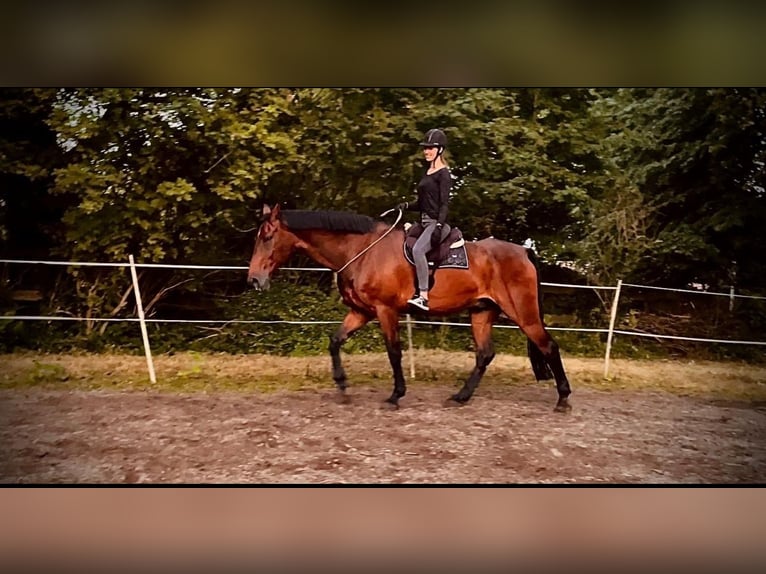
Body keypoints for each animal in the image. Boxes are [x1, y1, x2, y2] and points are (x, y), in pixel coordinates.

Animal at [247, 203, 572, 413]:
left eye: (267, 237)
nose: (253, 279)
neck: (362, 250)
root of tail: (524, 251)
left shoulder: (385, 310)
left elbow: (394, 352)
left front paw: (395, 395)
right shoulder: (361, 312)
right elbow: (335, 341)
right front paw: (341, 384)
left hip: (524, 315)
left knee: (549, 347)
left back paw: (563, 400)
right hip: (481, 313)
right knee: (485, 354)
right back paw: (460, 397)